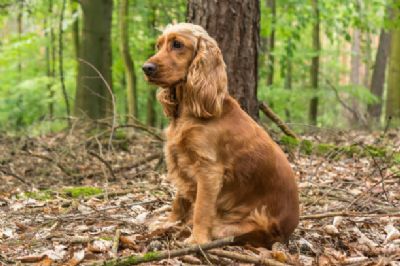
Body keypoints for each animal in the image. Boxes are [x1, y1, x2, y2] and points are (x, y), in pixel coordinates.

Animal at [142, 22, 298, 247]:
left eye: (177, 44)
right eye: (158, 45)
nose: (146, 68)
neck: (190, 109)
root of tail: (287, 233)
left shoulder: (209, 170)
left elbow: (201, 209)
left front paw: (196, 239)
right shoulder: (182, 159)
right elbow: (179, 201)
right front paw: (168, 222)